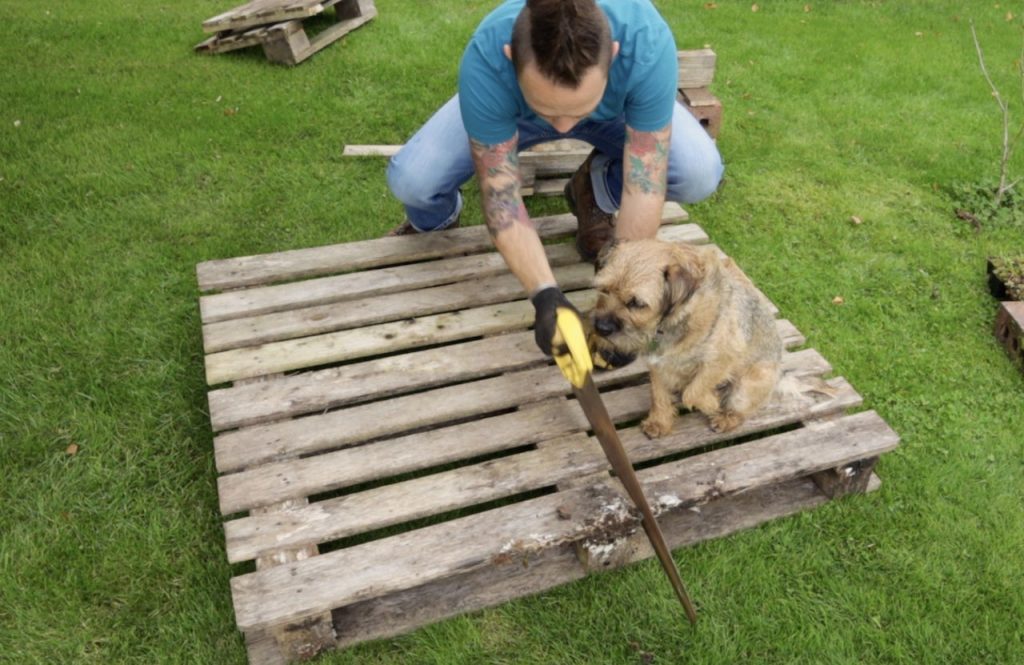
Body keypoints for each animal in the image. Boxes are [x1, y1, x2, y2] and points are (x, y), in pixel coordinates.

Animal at [589, 238, 778, 436]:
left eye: (636, 303)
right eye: (604, 289)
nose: (601, 327)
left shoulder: (723, 358)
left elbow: (693, 392)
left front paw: (711, 402)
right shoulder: (658, 364)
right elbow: (658, 394)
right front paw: (659, 422)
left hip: (748, 385)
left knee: (741, 411)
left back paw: (726, 419)